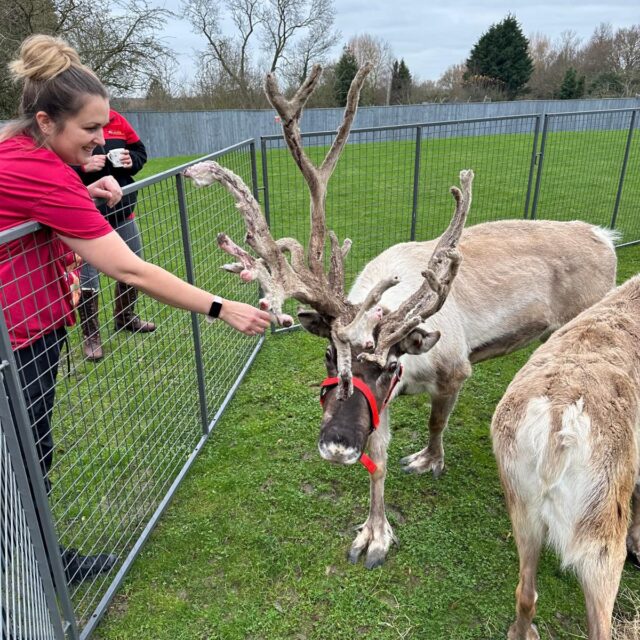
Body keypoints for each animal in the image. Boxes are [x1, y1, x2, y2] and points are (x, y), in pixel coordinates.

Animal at [183, 63, 618, 569]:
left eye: (391, 364)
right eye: (329, 354)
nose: (336, 444)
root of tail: (605, 238)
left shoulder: (454, 370)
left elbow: (435, 423)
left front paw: (430, 460)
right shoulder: (379, 405)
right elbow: (379, 461)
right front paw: (374, 534)